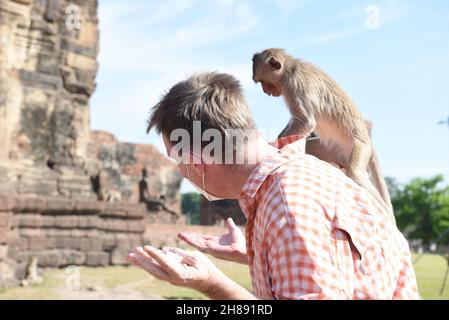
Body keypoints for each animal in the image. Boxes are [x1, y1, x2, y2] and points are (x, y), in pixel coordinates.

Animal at [250, 48, 394, 222]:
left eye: (263, 82)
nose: (265, 91)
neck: (288, 70)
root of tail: (370, 143)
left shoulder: (295, 86)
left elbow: (306, 122)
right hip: (335, 149)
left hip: (361, 148)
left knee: (355, 174)